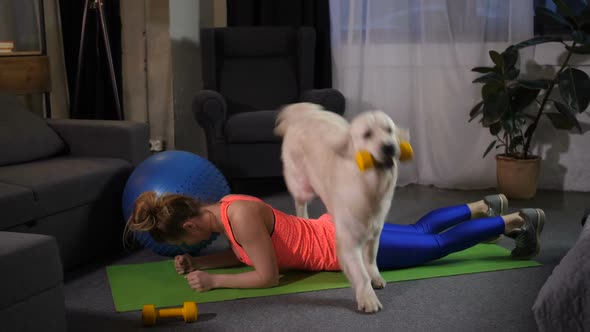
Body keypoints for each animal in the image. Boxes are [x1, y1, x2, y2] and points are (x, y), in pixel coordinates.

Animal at [276, 103, 404, 314]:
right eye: (367, 134)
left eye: (389, 130)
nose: (389, 147)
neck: (369, 184)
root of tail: (304, 114)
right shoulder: (349, 240)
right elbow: (360, 273)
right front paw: (368, 298)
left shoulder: (375, 231)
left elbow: (371, 259)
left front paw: (375, 277)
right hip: (302, 186)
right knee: (300, 202)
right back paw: (304, 219)